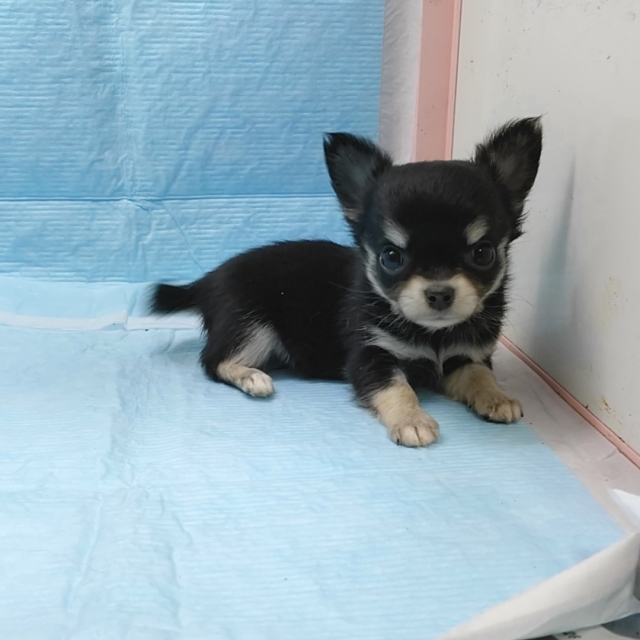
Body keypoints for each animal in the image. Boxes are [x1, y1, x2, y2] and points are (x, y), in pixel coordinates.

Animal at [151, 117, 542, 447]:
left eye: (483, 253)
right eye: (391, 257)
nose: (439, 293)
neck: (433, 335)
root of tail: (206, 281)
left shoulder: (466, 356)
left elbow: (480, 375)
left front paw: (497, 397)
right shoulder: (370, 356)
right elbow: (397, 387)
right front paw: (412, 420)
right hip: (252, 325)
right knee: (214, 362)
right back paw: (253, 378)